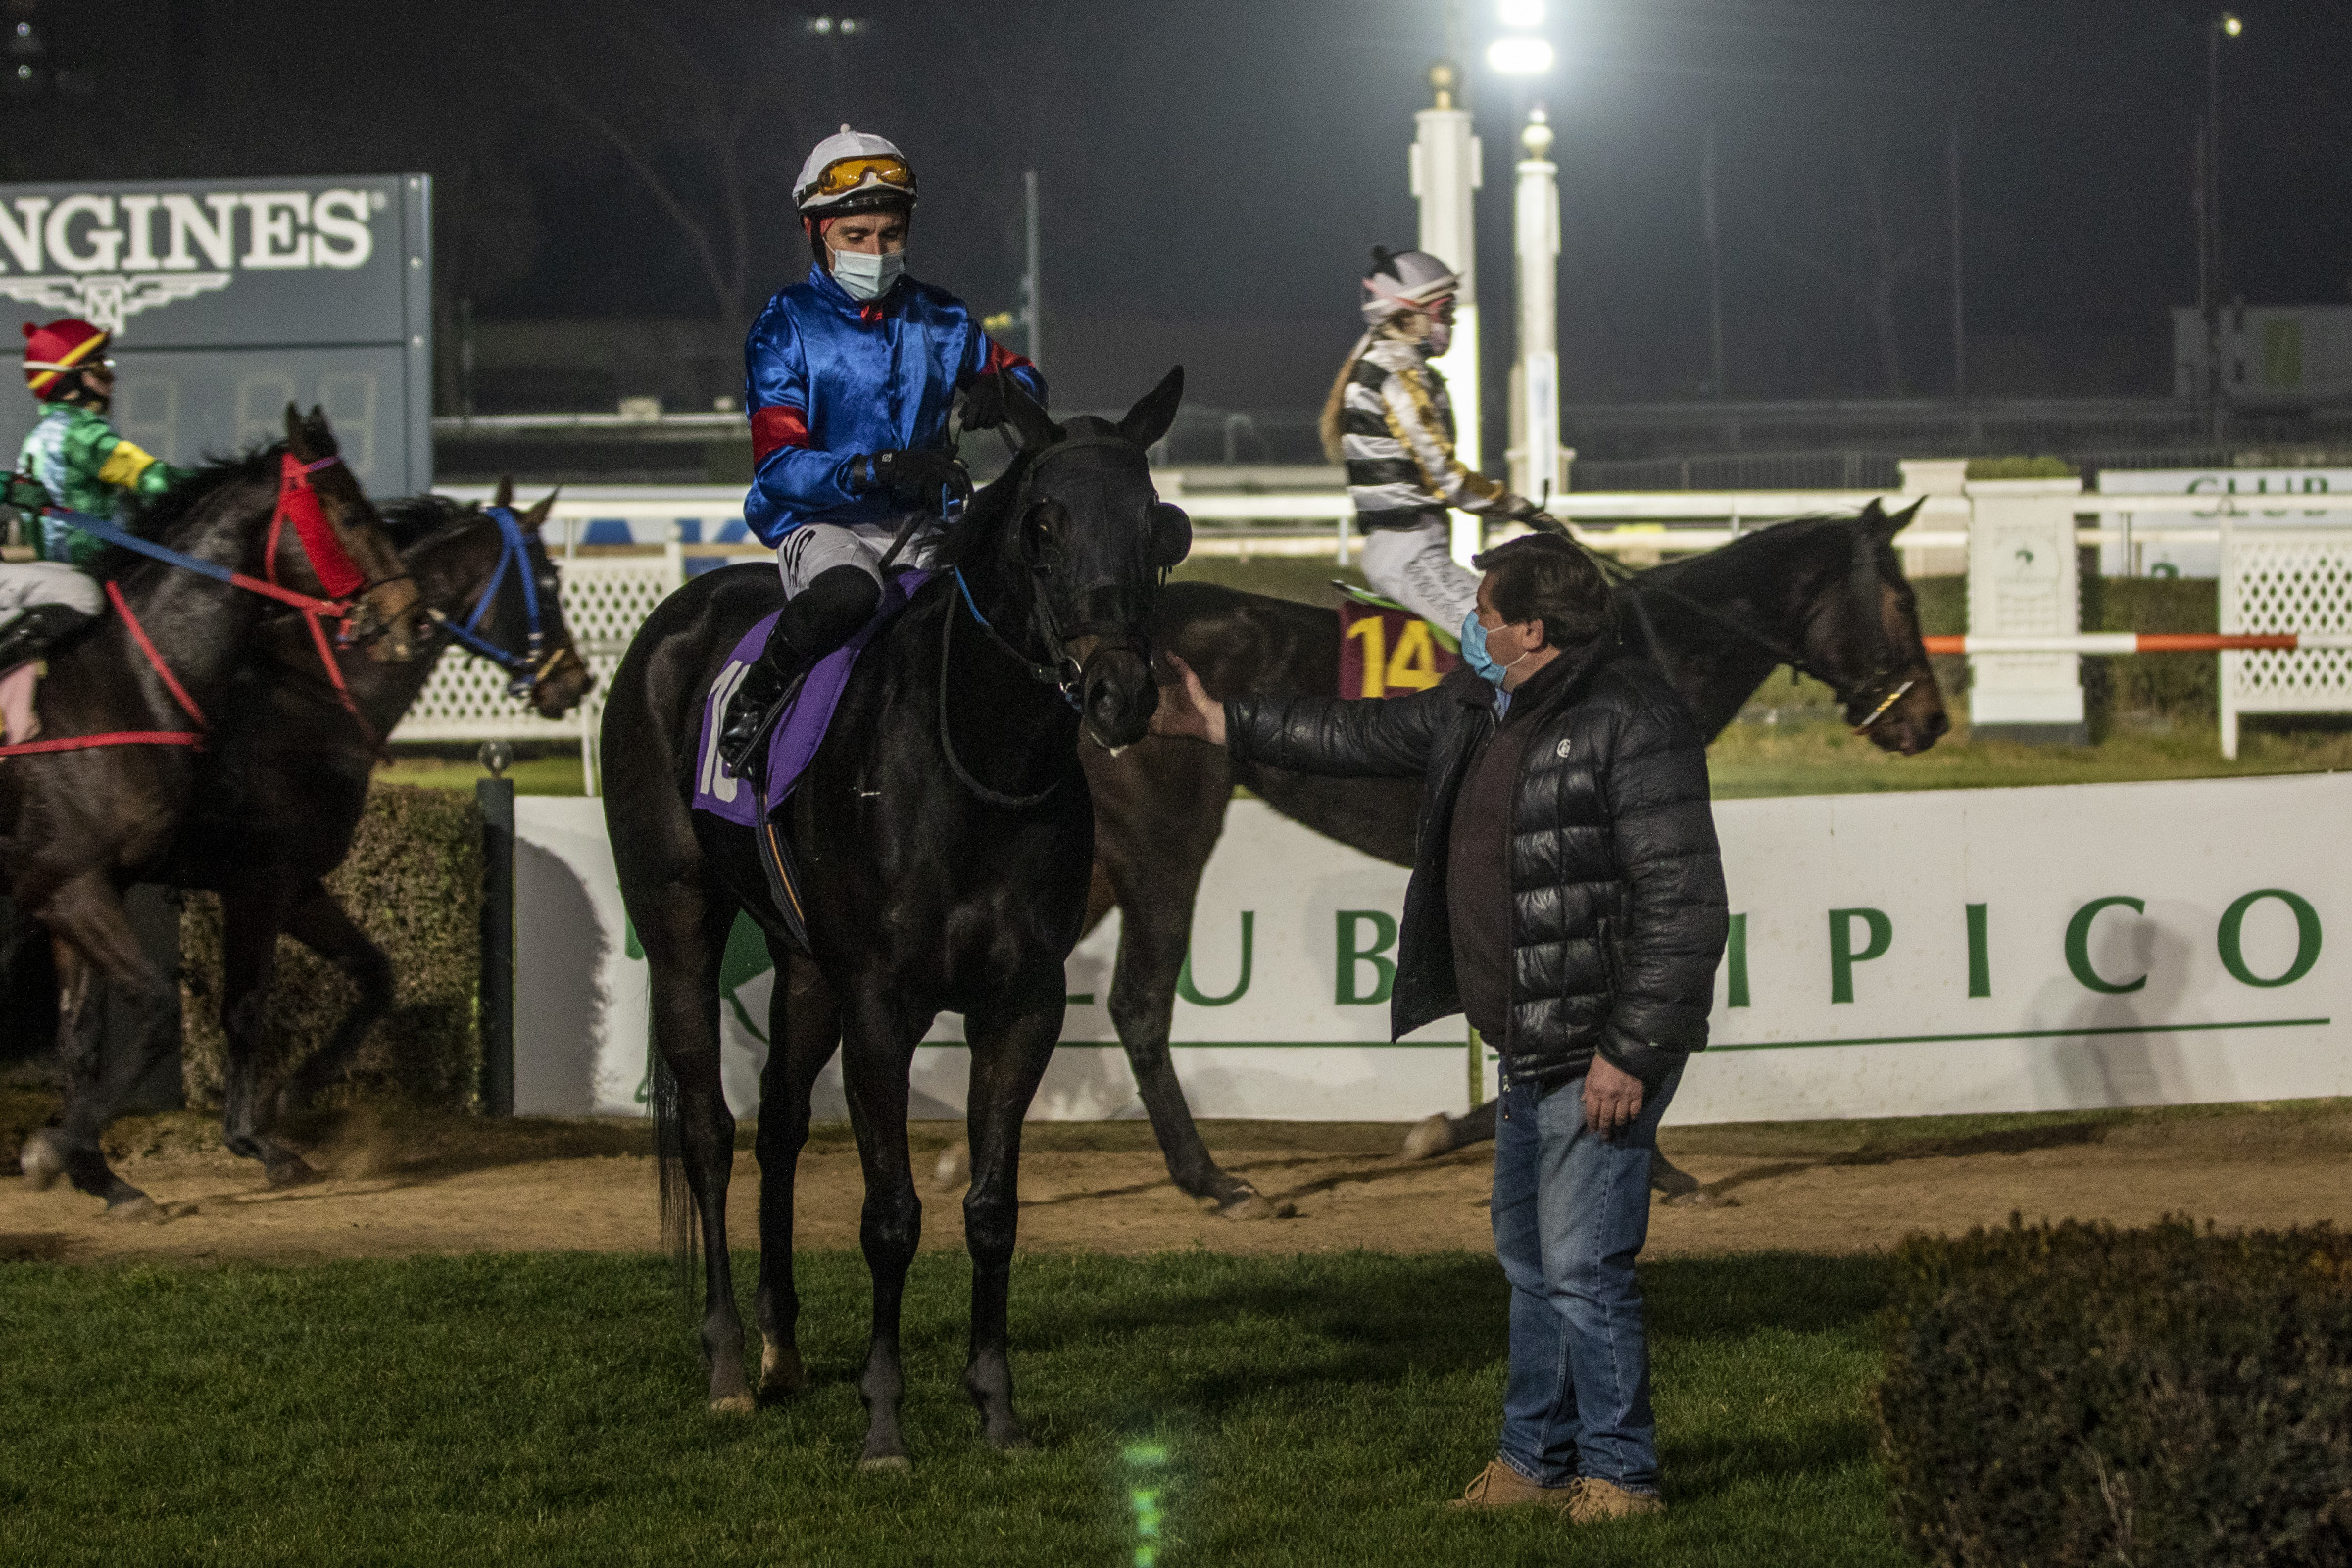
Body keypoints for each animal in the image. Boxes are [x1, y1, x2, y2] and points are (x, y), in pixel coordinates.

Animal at [2, 408, 421, 1214]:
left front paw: (92, 1168)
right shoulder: (89, 886)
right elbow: (171, 1013)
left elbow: (83, 1042)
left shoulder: (81, 890)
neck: (129, 688)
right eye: (351, 513)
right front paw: (65, 1151)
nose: (407, 615)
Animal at [602, 369, 1187, 1462]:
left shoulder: (1021, 1004)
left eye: (1158, 524)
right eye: (1043, 523)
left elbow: (992, 1209)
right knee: (709, 1131)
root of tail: (681, 613)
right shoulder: (881, 1003)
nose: (1118, 693)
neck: (977, 758)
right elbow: (891, 1216)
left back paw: (783, 1347)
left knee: (779, 1127)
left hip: (804, 967)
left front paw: (996, 1407)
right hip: (678, 923)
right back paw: (730, 1364)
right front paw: (884, 1422)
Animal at [1070, 500, 1948, 1212]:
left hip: (1104, 859)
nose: (1932, 721)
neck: (1637, 652)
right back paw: (1211, 1180)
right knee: (1139, 1004)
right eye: (1903, 599)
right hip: (1164, 840)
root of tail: (1090, 667)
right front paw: (1641, 1162)